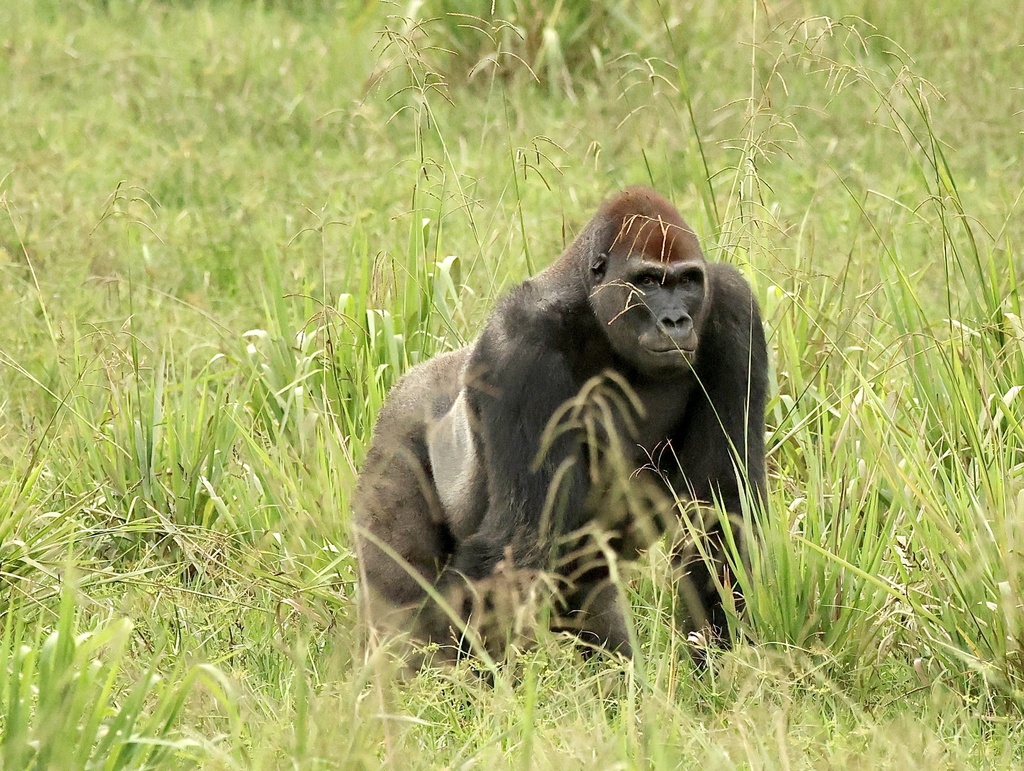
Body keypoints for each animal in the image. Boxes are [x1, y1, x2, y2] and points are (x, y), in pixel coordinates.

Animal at [353, 186, 767, 665]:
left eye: (687, 282)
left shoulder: (735, 309)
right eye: (647, 281)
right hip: (397, 429)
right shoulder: (520, 341)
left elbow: (719, 511)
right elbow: (520, 538)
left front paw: (721, 657)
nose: (676, 321)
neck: (591, 305)